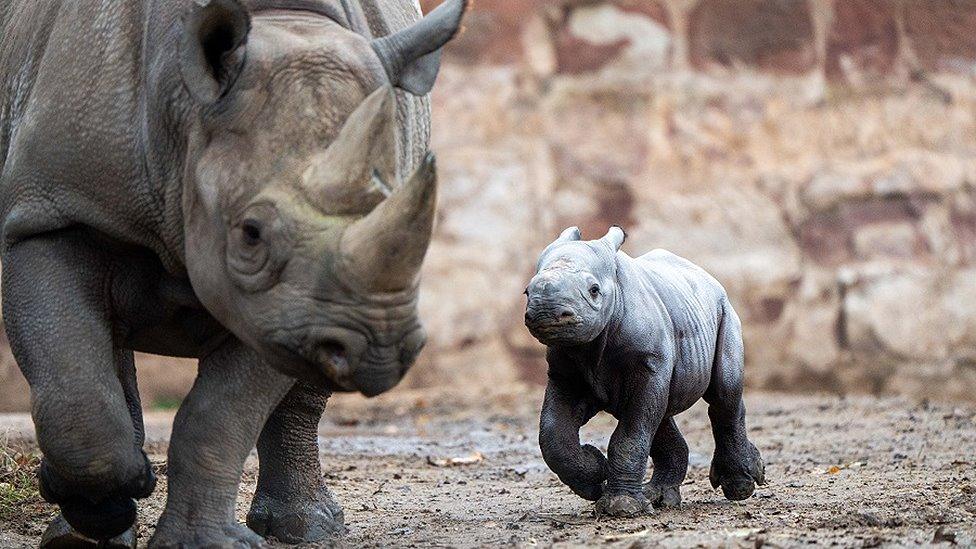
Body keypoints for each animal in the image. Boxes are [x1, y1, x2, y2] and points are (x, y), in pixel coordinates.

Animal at [0, 0, 468, 544]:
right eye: (251, 234)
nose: (380, 349)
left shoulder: (283, 308)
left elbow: (221, 414)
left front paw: (199, 543)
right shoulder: (53, 210)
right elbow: (73, 385)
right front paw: (101, 507)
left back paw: (306, 529)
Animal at [524, 226, 768, 512]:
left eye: (594, 290)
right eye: (527, 292)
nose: (546, 312)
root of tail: (709, 277)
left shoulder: (649, 363)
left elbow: (631, 434)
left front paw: (621, 507)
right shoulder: (565, 372)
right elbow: (553, 434)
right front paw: (595, 475)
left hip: (725, 311)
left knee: (723, 394)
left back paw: (740, 488)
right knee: (659, 412)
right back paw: (661, 499)